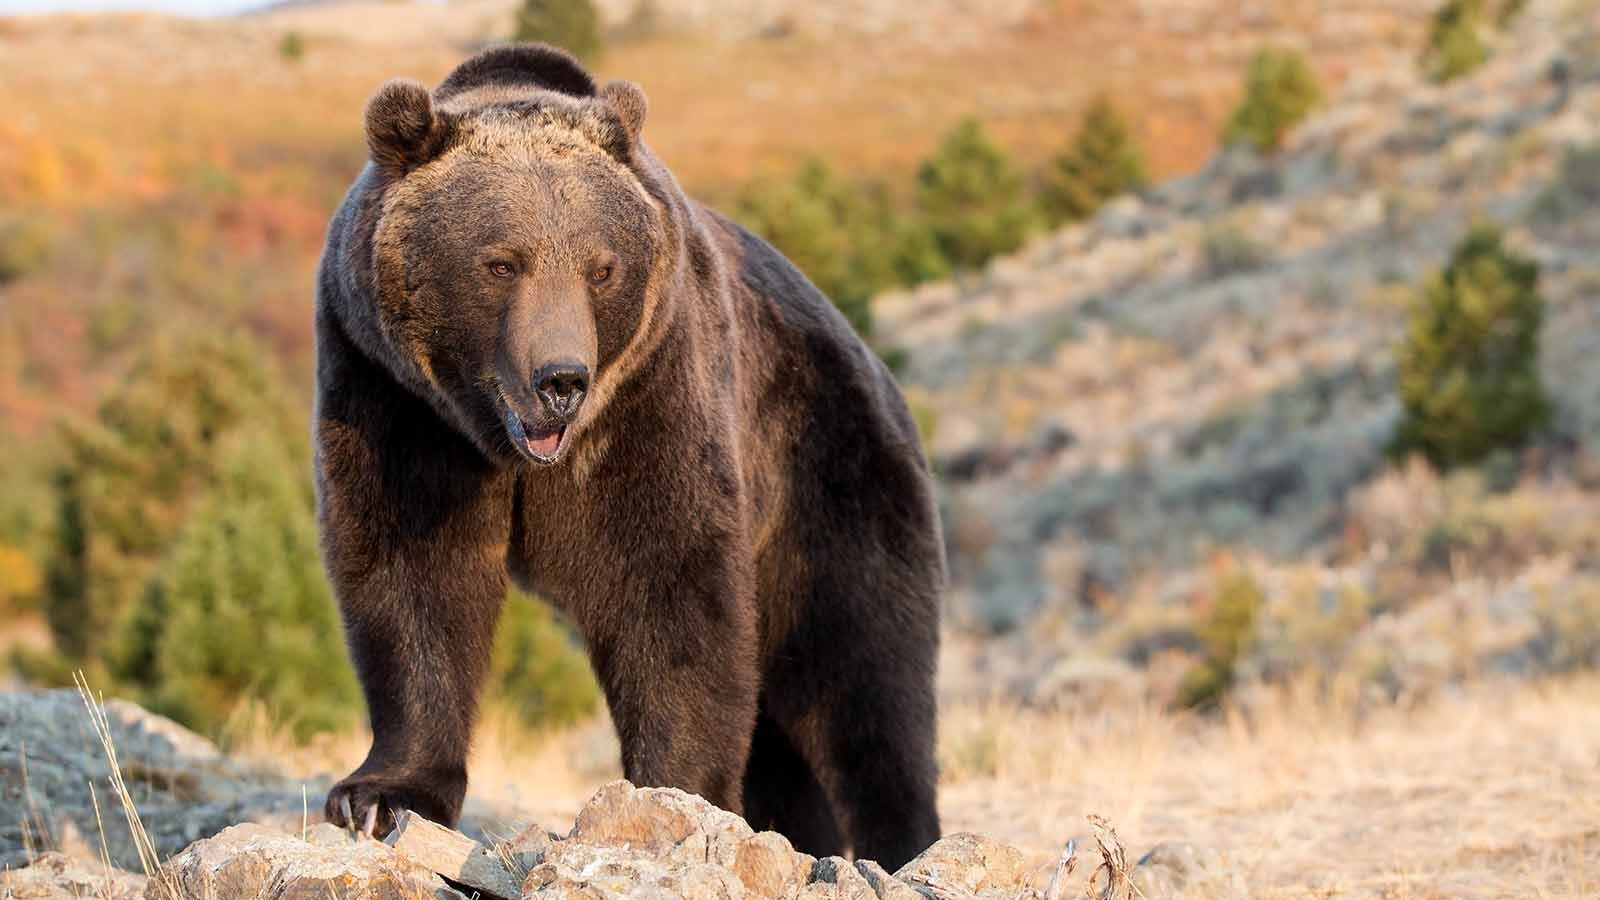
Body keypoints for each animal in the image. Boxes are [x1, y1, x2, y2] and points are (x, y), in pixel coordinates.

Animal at [313, 43, 940, 871]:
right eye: (502, 263)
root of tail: (880, 368)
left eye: (600, 266)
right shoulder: (394, 398)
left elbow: (668, 584)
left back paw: (901, 844)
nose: (562, 380)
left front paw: (676, 797)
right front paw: (379, 796)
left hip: (828, 472)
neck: (506, 448)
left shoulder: (653, 390)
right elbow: (411, 572)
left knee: (865, 677)